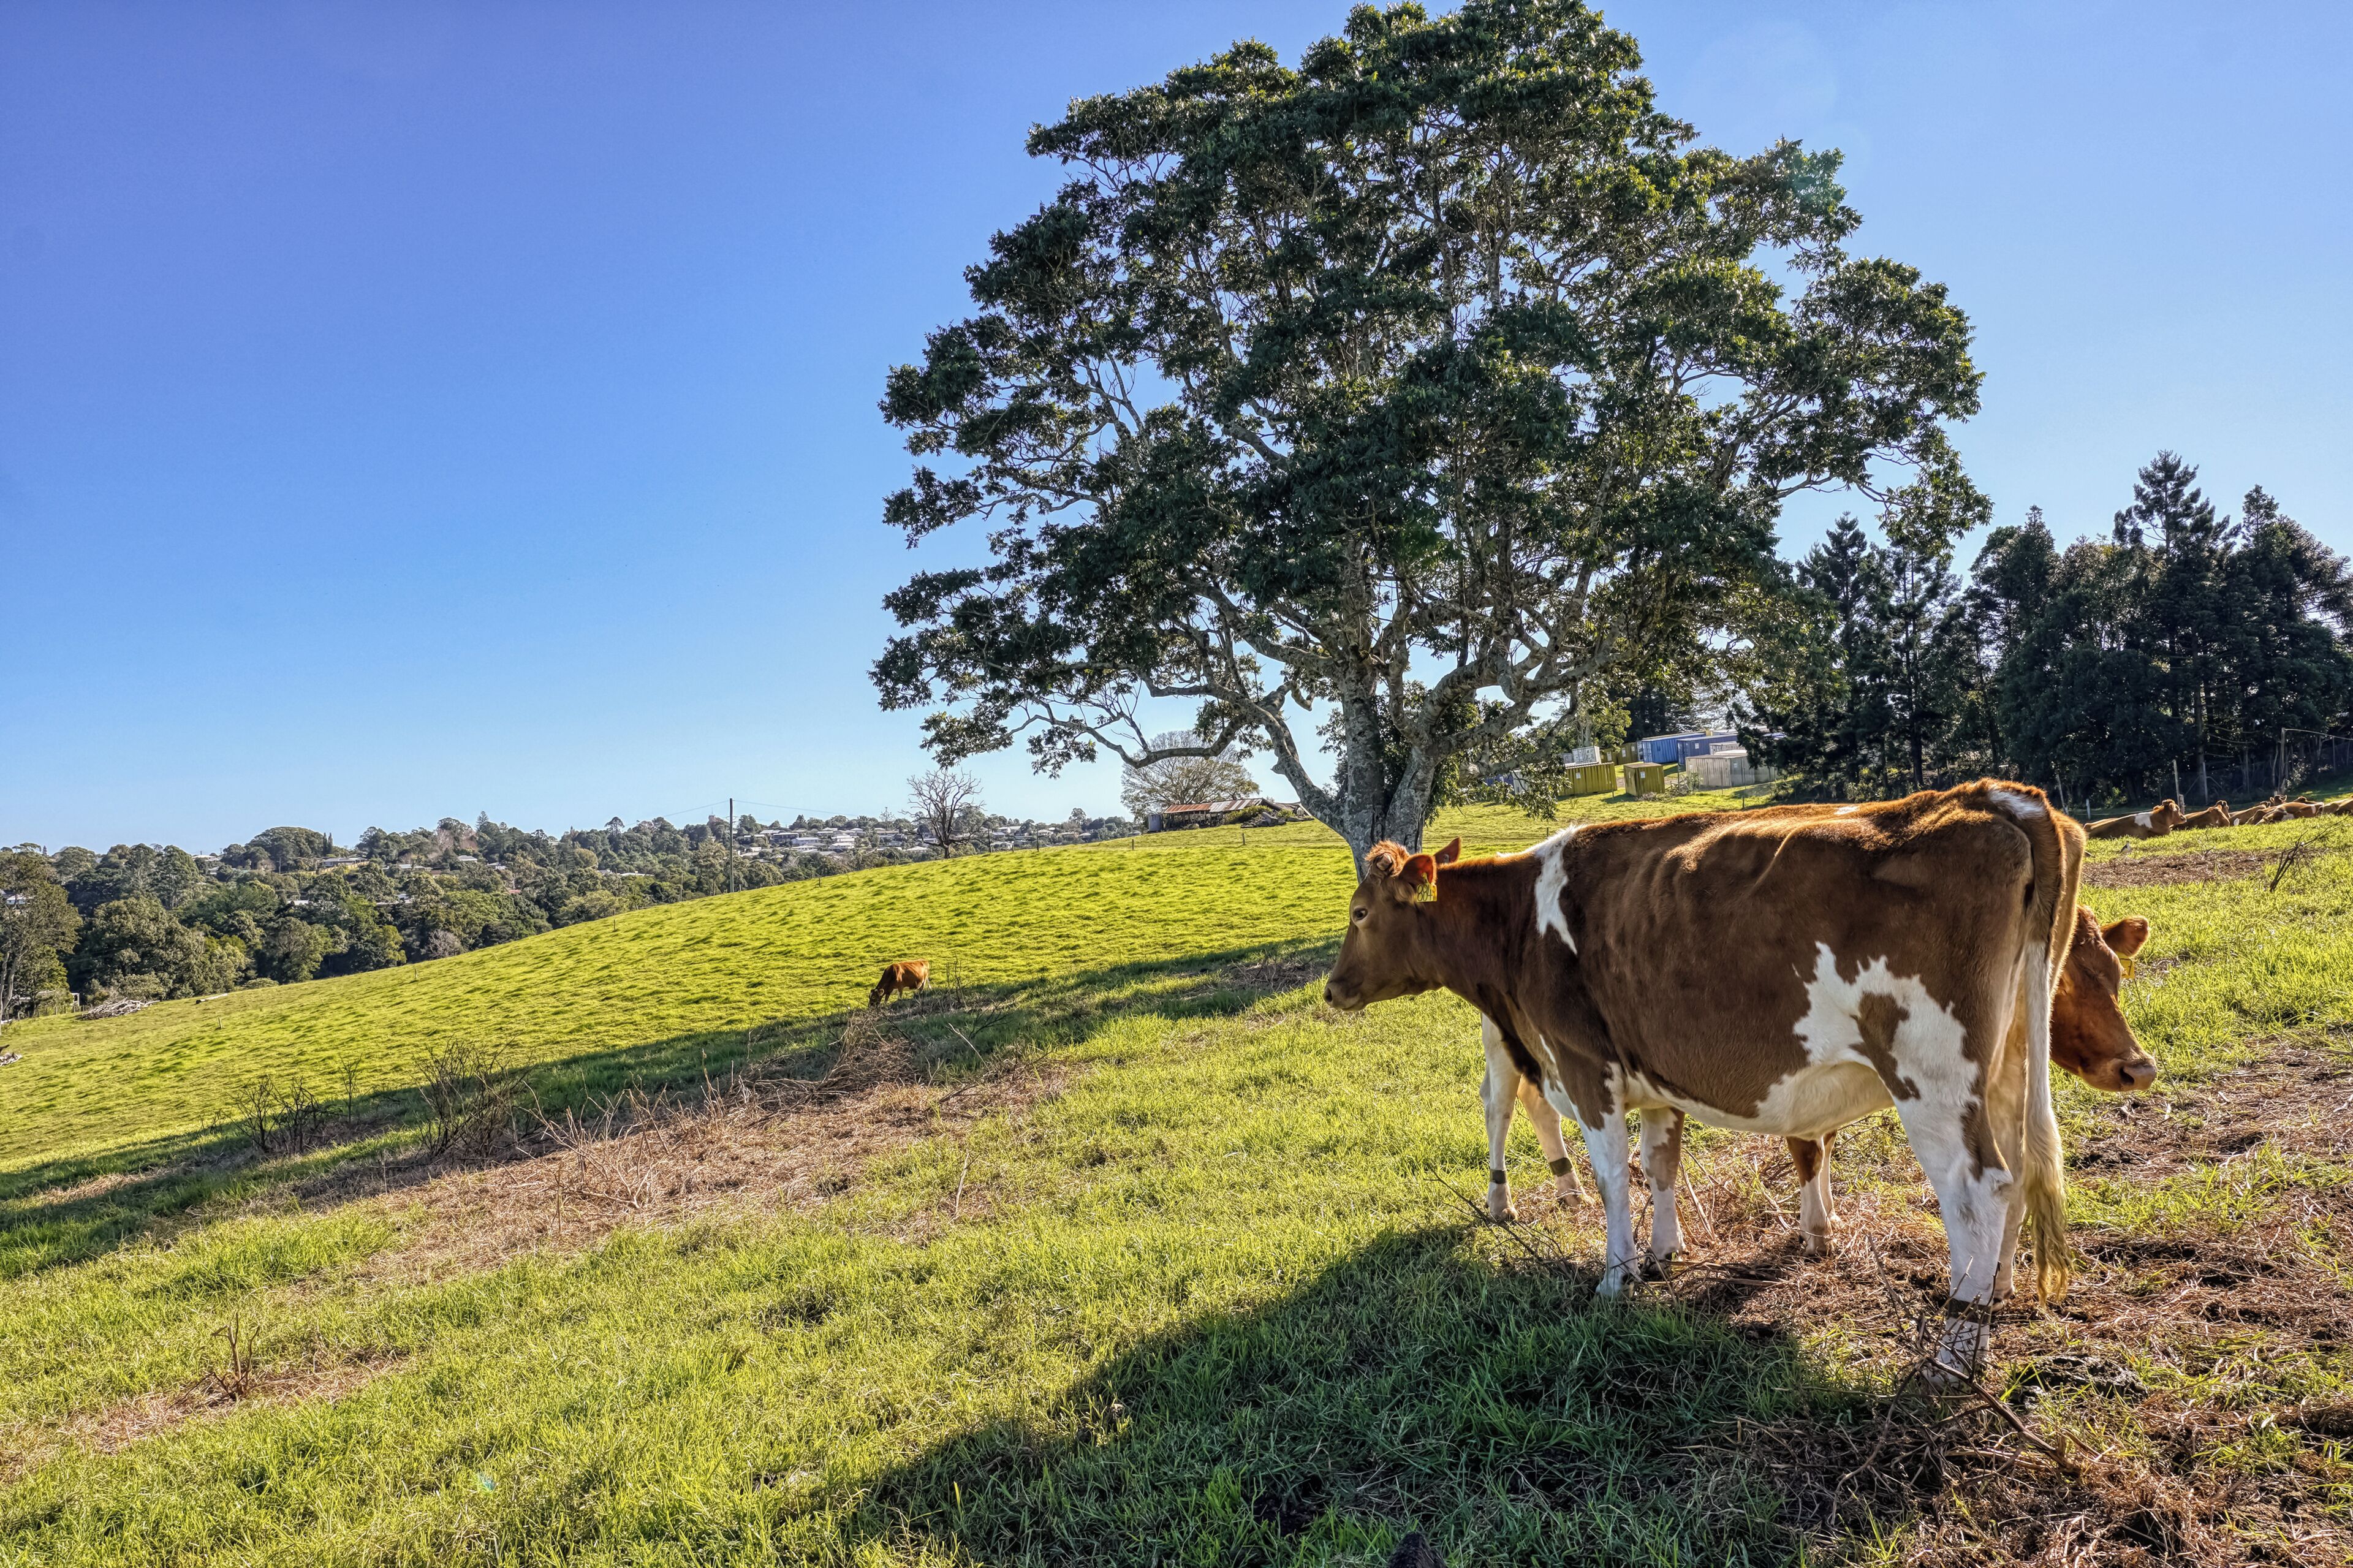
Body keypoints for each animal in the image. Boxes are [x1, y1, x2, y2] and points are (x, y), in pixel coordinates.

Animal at [1324, 781, 2082, 1377]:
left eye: (1360, 913)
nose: (1332, 988)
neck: (1517, 924)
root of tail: (1990, 796)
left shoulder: (1584, 1063)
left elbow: (1614, 1177)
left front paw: (1616, 1279)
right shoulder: (1655, 1077)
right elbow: (1659, 1163)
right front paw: (1666, 1254)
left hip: (1932, 1077)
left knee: (1978, 1190)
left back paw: (1953, 1353)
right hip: (2008, 1065)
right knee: (2018, 1171)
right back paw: (1996, 1295)